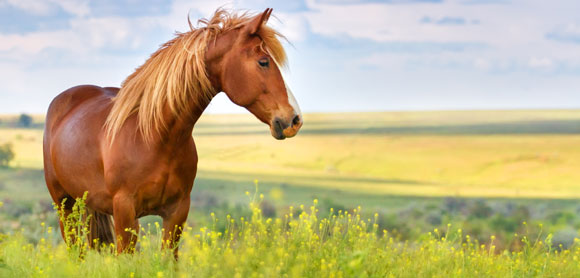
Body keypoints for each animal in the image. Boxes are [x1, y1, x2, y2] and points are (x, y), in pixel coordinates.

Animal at [43, 8, 302, 256]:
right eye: (263, 62)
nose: (295, 119)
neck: (155, 137)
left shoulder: (177, 212)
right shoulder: (124, 212)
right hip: (64, 206)